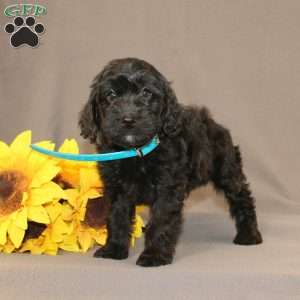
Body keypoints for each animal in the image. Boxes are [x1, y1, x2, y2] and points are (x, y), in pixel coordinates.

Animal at [79, 58, 262, 268]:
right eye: (111, 94)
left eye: (146, 93)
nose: (128, 119)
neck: (137, 152)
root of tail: (212, 122)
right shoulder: (117, 188)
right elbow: (117, 217)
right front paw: (114, 249)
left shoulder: (167, 187)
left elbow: (161, 220)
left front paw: (154, 255)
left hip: (227, 170)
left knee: (242, 198)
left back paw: (249, 235)